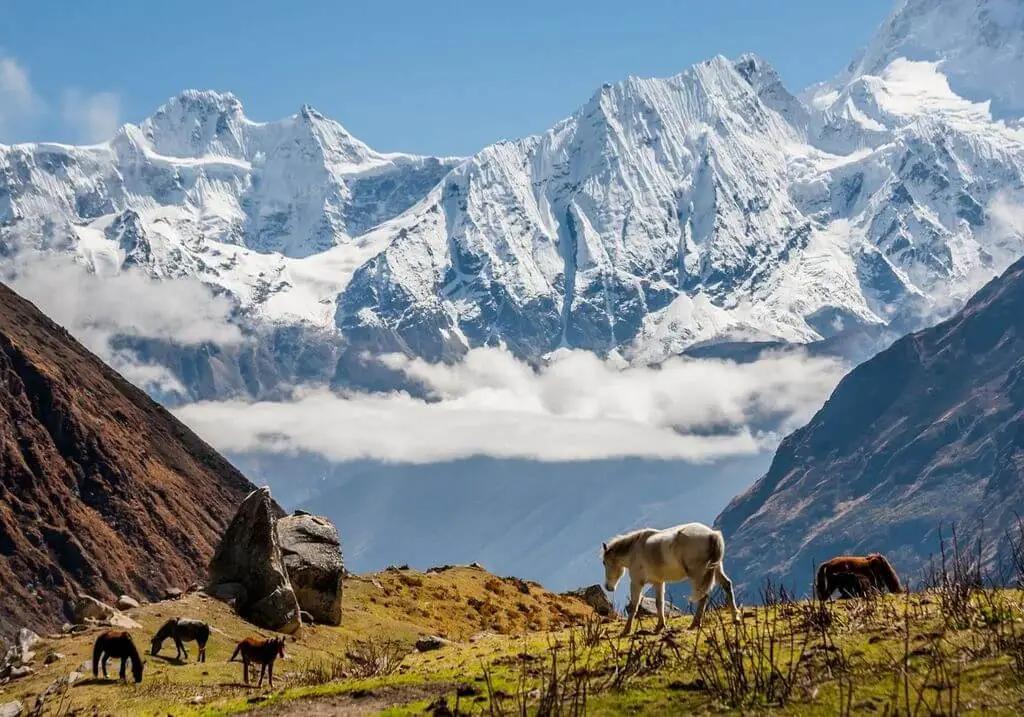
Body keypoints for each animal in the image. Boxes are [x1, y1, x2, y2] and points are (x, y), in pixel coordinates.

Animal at [598, 520, 737, 630]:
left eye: (604, 562)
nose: (608, 587)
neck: (635, 550)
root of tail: (712, 534)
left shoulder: (637, 582)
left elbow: (634, 605)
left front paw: (626, 630)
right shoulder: (658, 582)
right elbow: (659, 603)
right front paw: (660, 625)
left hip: (698, 575)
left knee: (703, 596)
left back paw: (695, 624)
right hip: (716, 569)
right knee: (727, 585)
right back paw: (736, 618)